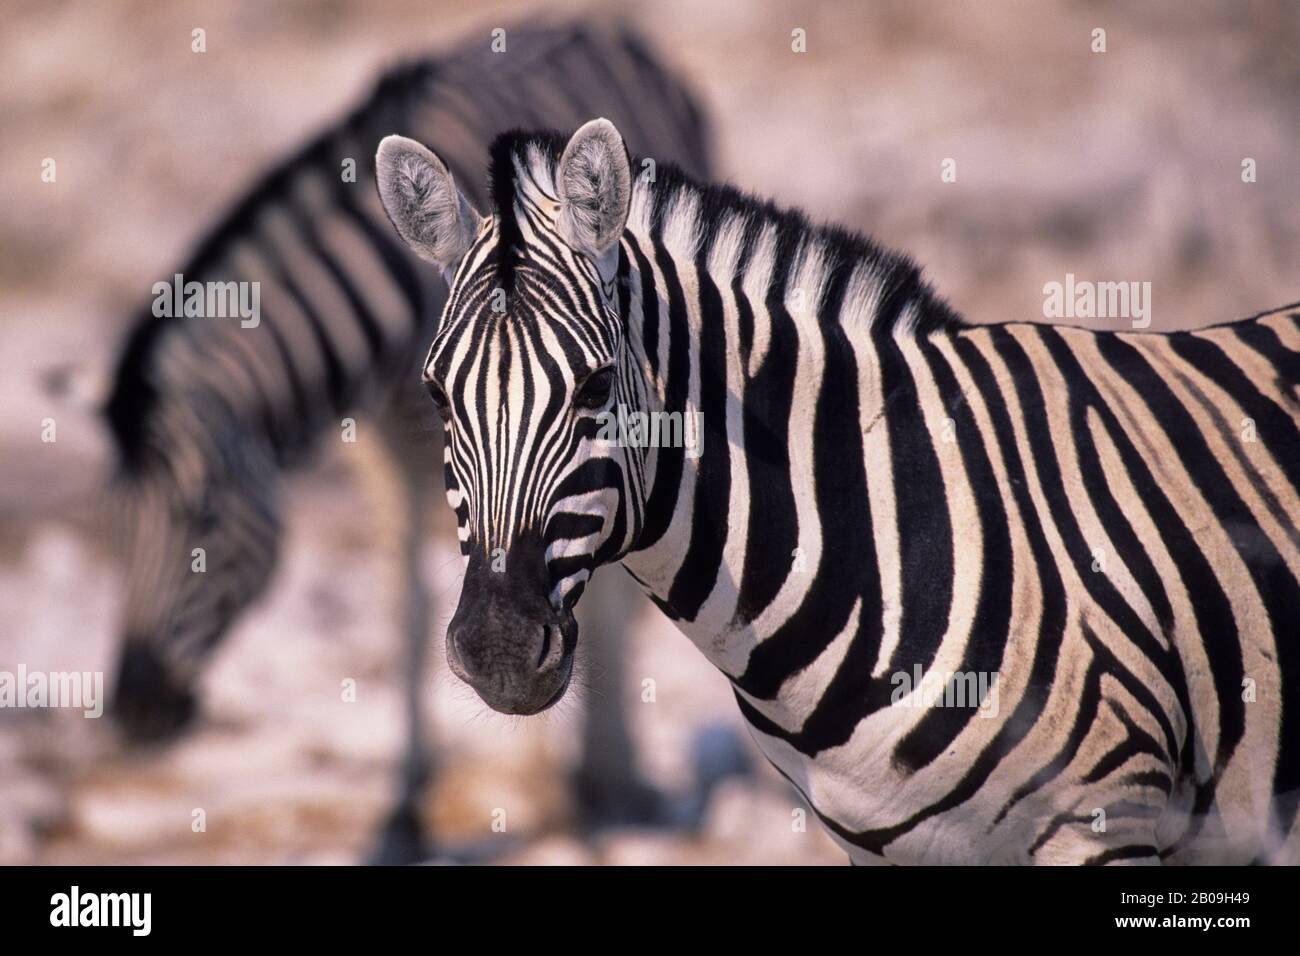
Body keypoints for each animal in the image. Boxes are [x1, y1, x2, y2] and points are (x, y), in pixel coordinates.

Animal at [102, 24, 712, 861]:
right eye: (115, 525)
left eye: (204, 516)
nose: (134, 712)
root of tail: (601, 27)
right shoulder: (385, 452)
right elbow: (408, 611)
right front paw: (404, 810)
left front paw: (551, 792)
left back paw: (607, 776)